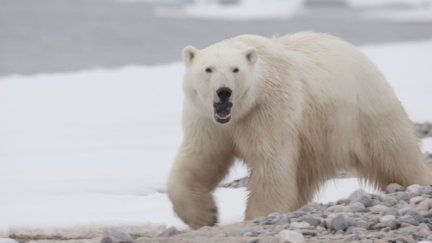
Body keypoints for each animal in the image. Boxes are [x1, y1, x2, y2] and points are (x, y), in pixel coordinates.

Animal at [166, 31, 432, 228]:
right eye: (208, 69)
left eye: (235, 69)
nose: (224, 92)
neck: (242, 110)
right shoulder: (207, 120)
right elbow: (200, 158)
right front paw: (205, 215)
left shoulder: (268, 112)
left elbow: (271, 163)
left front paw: (259, 214)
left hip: (365, 111)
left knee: (396, 153)